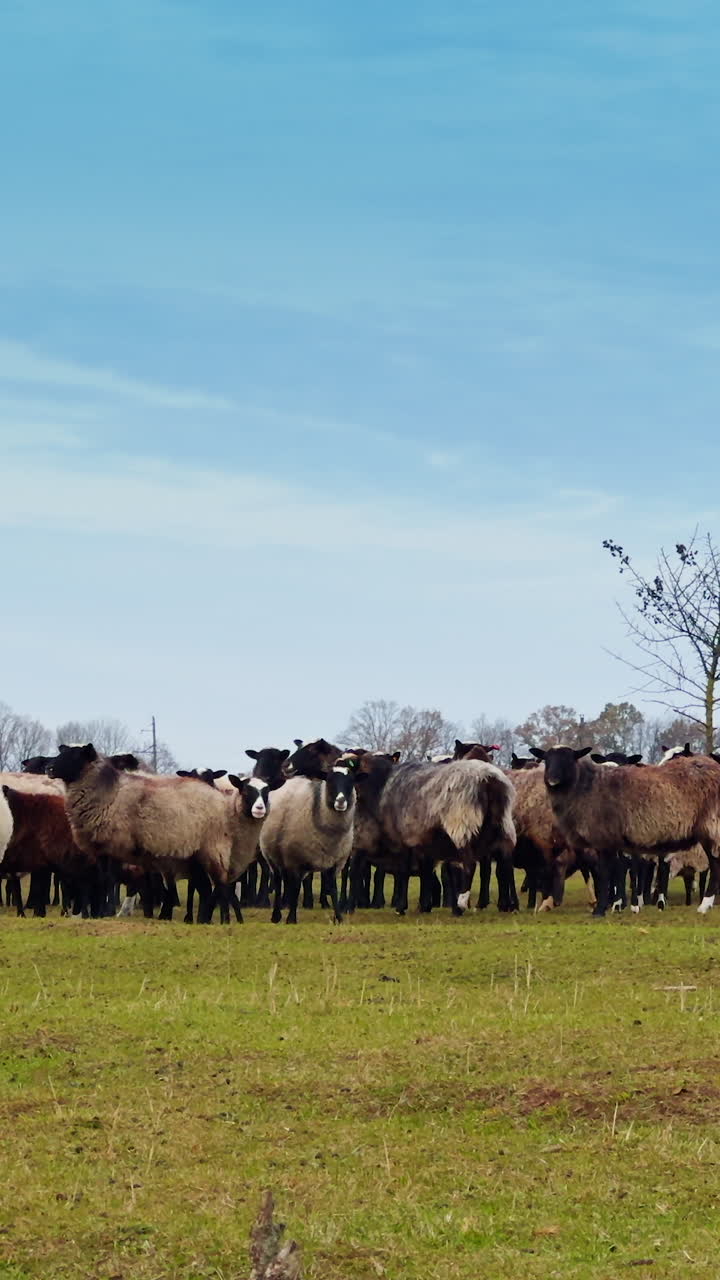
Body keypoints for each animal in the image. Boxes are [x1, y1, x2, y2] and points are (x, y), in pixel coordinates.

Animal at [259, 761, 358, 923]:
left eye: (351, 781)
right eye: (329, 780)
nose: (341, 801)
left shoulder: (334, 862)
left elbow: (333, 889)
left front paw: (339, 918)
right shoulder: (296, 859)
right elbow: (295, 888)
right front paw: (291, 919)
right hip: (274, 856)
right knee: (279, 882)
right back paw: (276, 915)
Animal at [531, 746, 720, 916]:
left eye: (569, 759)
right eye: (547, 759)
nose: (552, 779)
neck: (585, 787)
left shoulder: (605, 838)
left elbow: (605, 873)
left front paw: (600, 910)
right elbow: (616, 872)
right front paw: (615, 905)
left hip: (711, 825)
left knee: (715, 864)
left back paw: (704, 905)